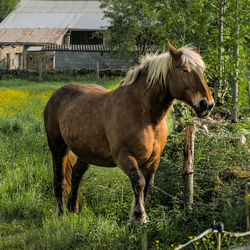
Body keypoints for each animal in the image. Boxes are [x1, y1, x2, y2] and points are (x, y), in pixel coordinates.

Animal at [44, 42, 214, 226]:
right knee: (60, 182)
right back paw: (61, 215)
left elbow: (146, 186)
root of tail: (57, 94)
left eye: (202, 70)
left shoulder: (153, 161)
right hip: (58, 148)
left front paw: (139, 217)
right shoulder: (124, 156)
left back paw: (73, 210)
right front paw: (138, 217)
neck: (146, 116)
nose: (207, 104)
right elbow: (138, 182)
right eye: (184, 70)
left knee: (76, 176)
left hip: (86, 152)